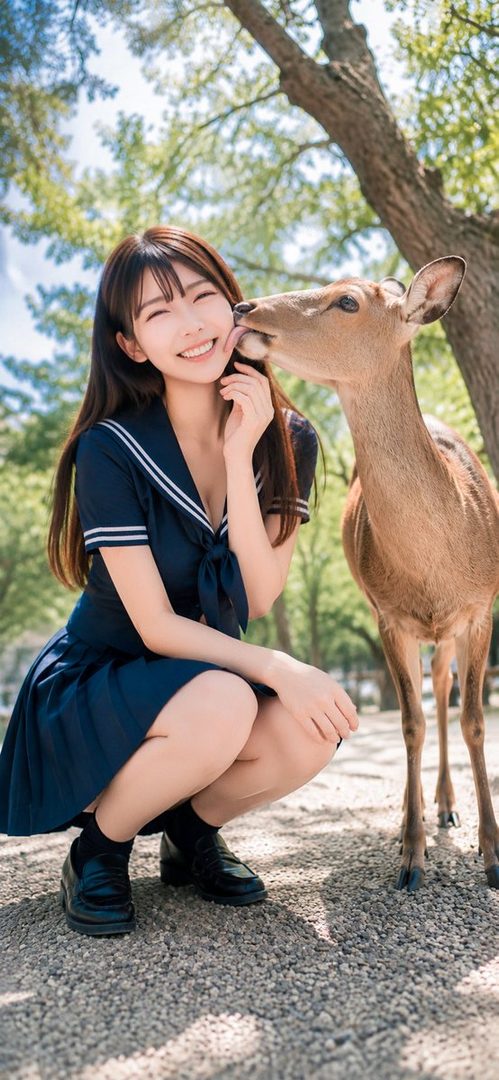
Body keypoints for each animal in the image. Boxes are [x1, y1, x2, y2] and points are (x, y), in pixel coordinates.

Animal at [231, 257, 499, 893]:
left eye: (348, 301)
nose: (243, 308)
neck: (437, 566)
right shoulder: (387, 614)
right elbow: (409, 722)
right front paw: (410, 859)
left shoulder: (482, 606)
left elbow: (477, 721)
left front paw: (494, 855)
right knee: (434, 696)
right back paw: (425, 810)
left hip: (450, 631)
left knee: (448, 691)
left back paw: (449, 807)